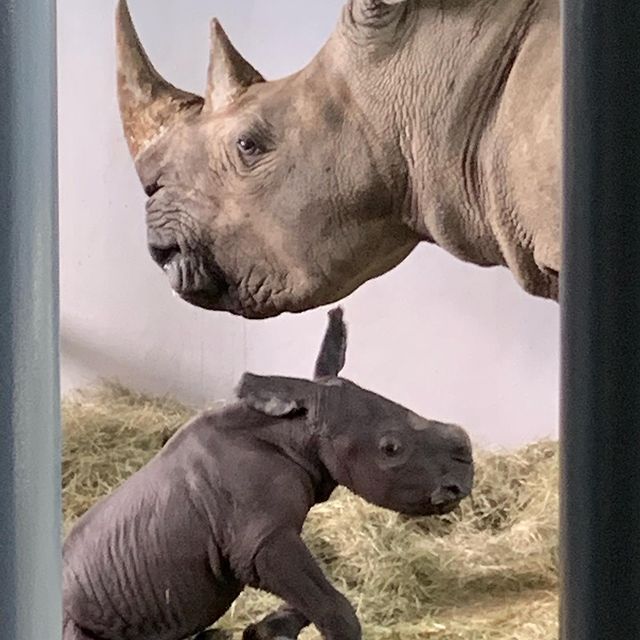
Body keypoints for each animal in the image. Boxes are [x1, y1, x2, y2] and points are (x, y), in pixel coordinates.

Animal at [63, 308, 476, 636]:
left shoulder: (266, 533)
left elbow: (311, 599)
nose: (462, 485)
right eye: (390, 449)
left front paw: (267, 630)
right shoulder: (260, 539)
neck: (295, 432)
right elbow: (334, 607)